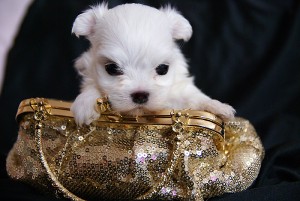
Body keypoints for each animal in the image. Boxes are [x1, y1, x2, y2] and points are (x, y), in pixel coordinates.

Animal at [70, 2, 234, 125]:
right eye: (111, 68)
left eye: (163, 69)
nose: (140, 95)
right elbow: (92, 86)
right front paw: (85, 104)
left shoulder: (178, 89)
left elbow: (193, 96)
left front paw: (216, 106)